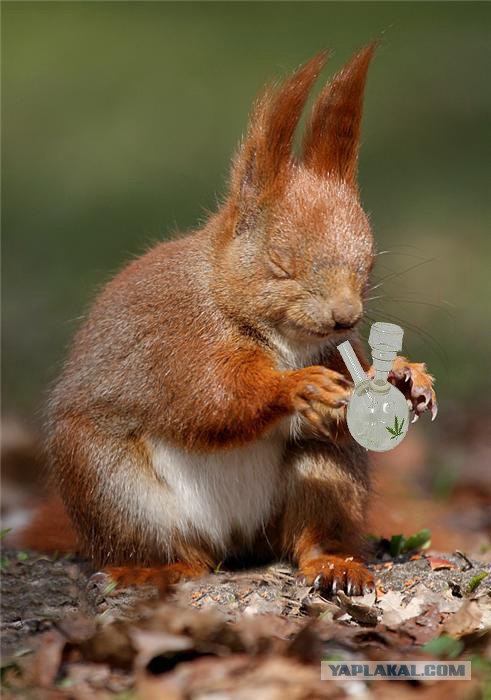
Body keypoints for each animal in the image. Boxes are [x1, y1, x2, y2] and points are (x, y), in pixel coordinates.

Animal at [18, 44, 437, 595]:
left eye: (368, 264)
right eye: (280, 263)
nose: (346, 317)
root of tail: (235, 542)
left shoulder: (334, 351)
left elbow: (349, 410)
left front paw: (406, 377)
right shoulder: (179, 338)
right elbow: (211, 400)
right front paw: (296, 387)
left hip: (325, 478)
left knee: (312, 530)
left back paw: (334, 563)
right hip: (111, 485)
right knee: (166, 549)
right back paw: (152, 569)